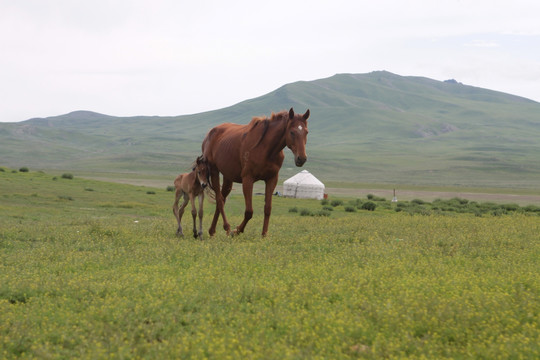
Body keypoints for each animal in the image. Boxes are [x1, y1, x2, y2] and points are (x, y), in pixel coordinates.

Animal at [201, 107, 312, 236]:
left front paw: (264, 235)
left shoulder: (272, 179)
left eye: (306, 132)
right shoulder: (248, 179)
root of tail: (209, 134)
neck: (266, 149)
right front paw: (237, 230)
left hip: (228, 177)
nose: (301, 158)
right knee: (219, 200)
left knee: (222, 199)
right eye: (292, 132)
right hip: (214, 170)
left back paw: (212, 230)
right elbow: (249, 211)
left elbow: (267, 209)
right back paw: (227, 228)